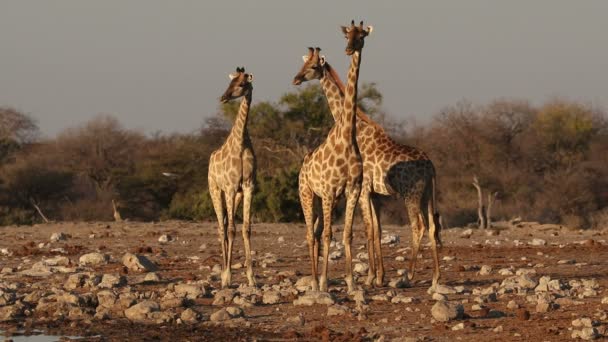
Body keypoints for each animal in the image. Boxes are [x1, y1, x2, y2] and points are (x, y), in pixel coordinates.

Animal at [292, 47, 444, 288]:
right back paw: (436, 277)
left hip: (411, 194)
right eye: (303, 64)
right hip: (427, 194)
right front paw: (379, 276)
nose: (296, 79)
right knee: (432, 226)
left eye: (313, 67)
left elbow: (368, 229)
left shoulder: (363, 189)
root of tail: (431, 166)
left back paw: (410, 274)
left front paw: (371, 277)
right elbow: (377, 230)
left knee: (418, 226)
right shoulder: (374, 194)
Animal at [300, 20, 370, 294]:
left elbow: (348, 234)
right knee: (311, 234)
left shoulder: (352, 189)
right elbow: (329, 235)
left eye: (360, 36)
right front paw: (324, 282)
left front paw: (351, 283)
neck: (347, 136)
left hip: (321, 199)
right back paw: (314, 282)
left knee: (316, 232)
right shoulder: (330, 191)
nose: (349, 49)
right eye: (346, 35)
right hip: (308, 194)